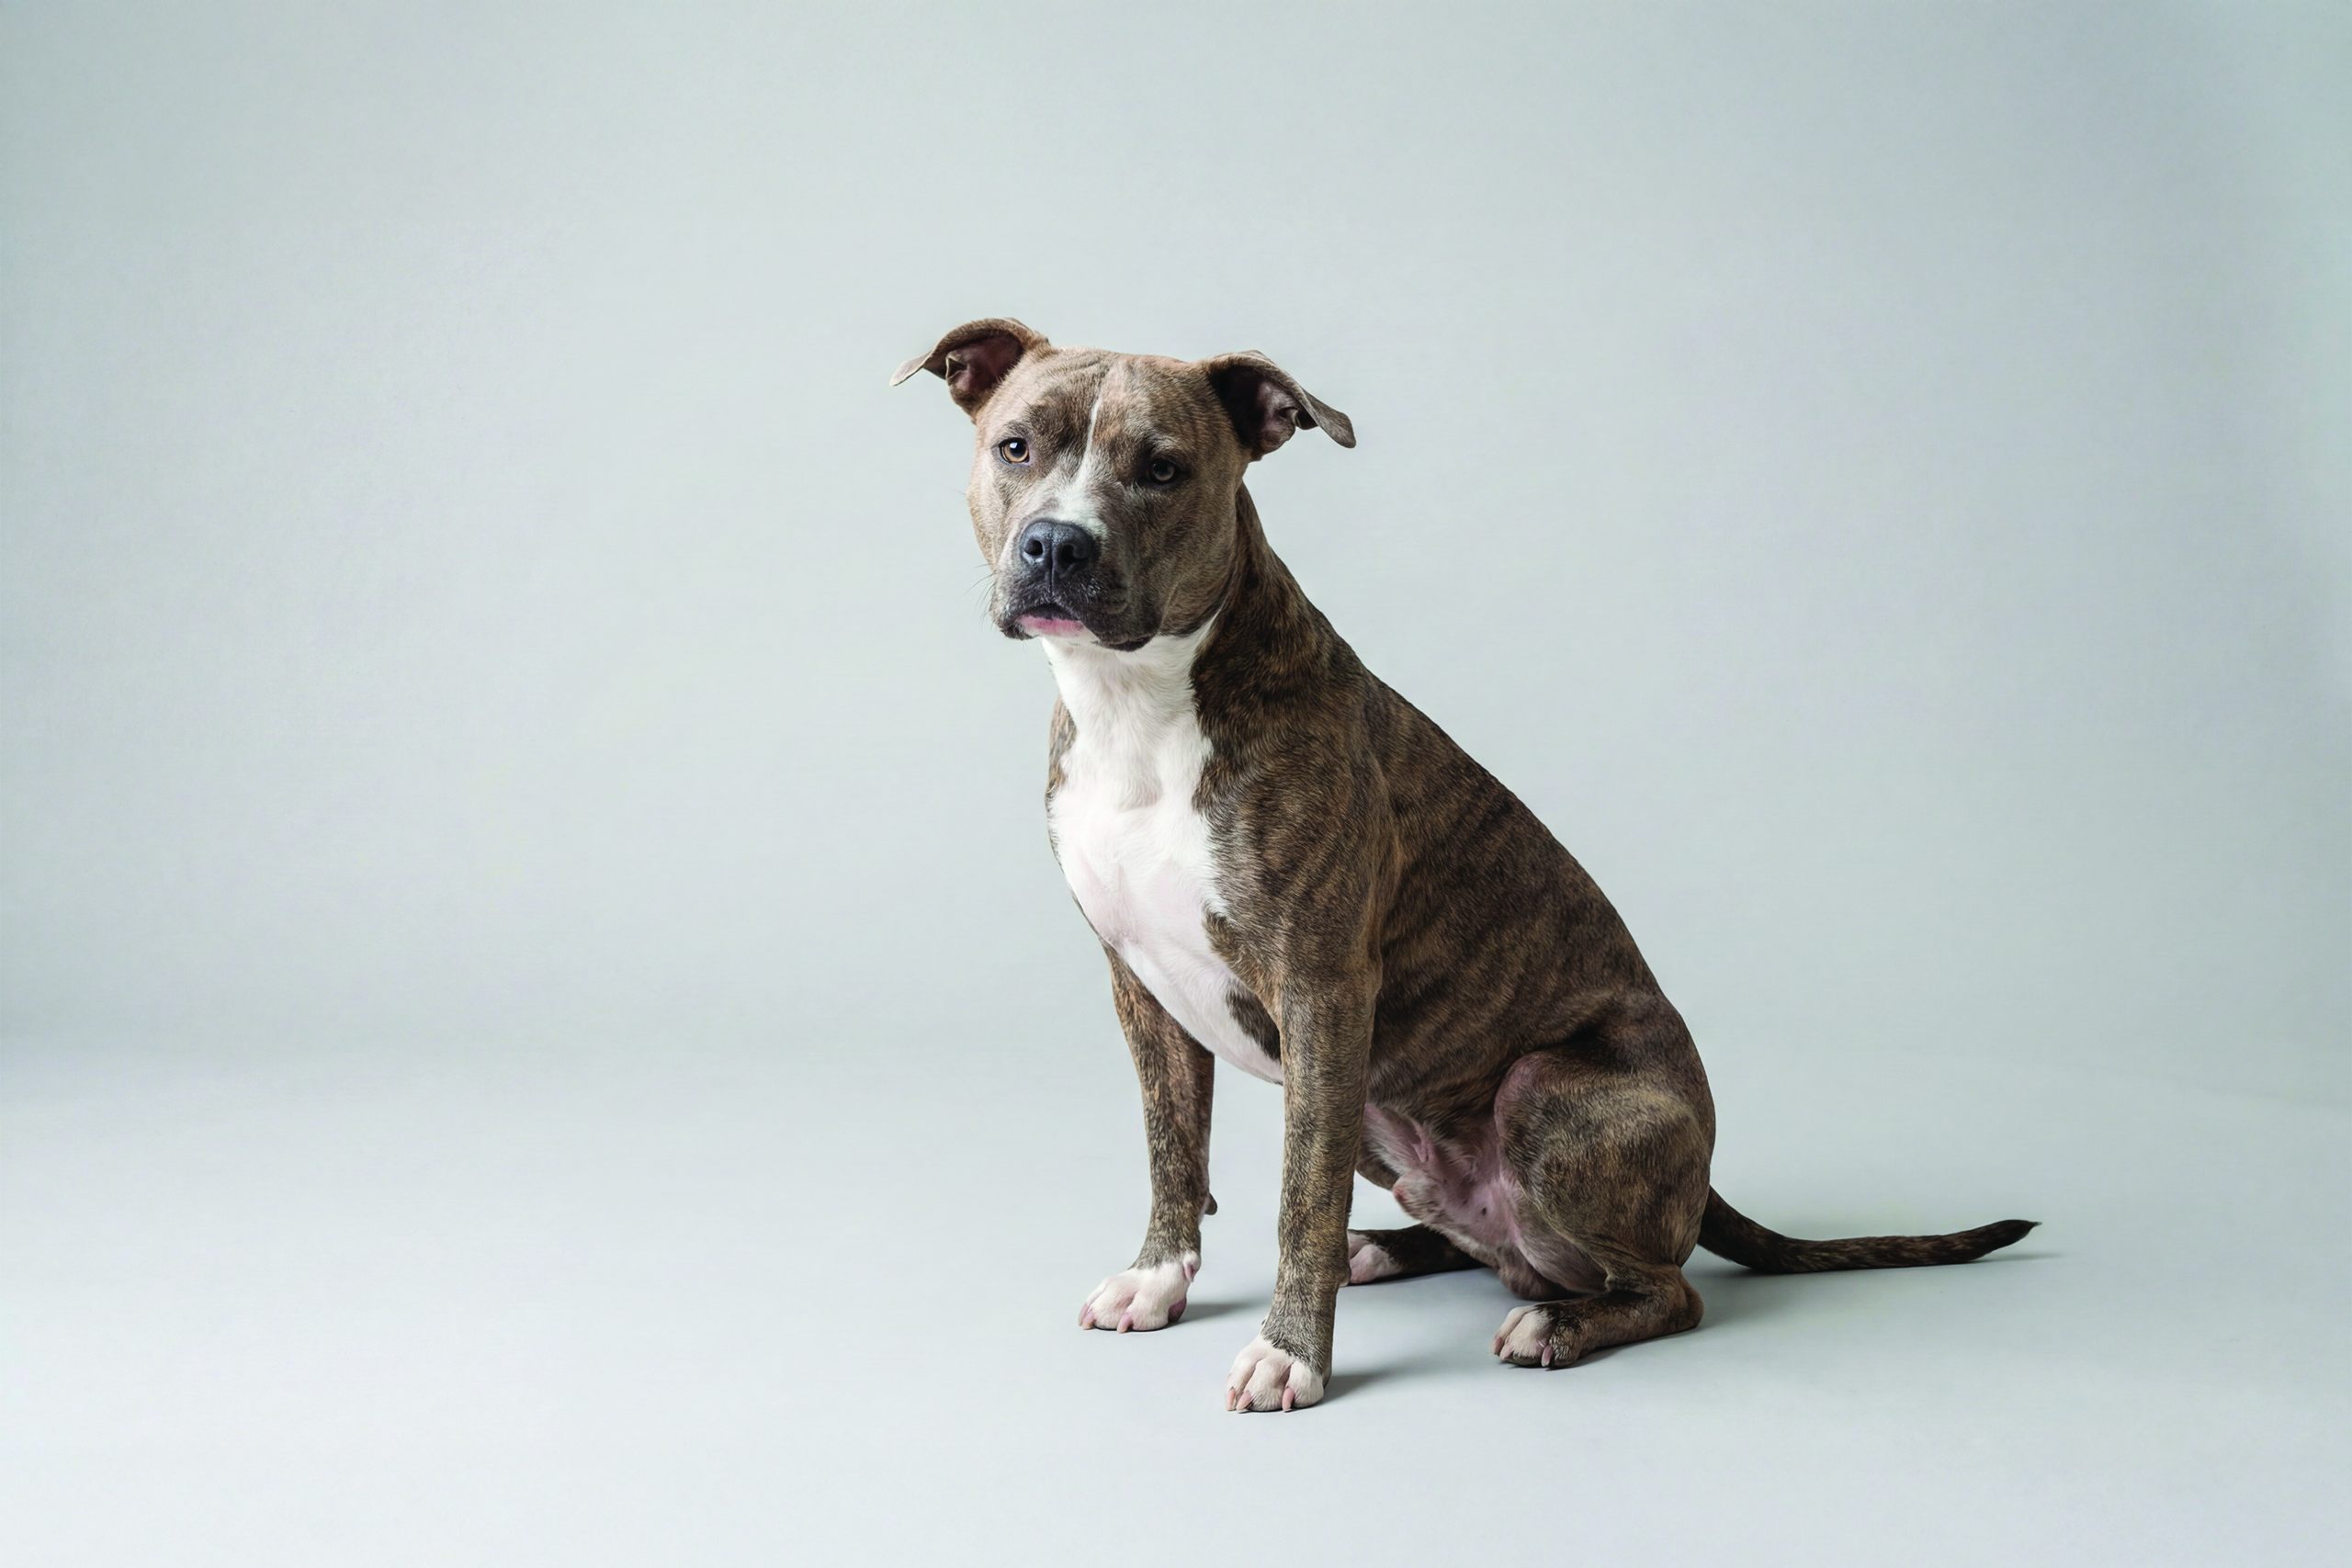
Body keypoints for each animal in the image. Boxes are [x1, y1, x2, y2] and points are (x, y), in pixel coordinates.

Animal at [895, 319, 2034, 1412]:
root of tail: (1703, 1176)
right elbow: (1173, 1152)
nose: (1056, 542)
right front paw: (1158, 1279)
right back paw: (1384, 1251)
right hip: (1383, 1109)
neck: (1138, 705)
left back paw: (1553, 1326)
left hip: (1534, 1095)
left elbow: (1298, 1199)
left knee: (1664, 1289)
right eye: (1015, 447)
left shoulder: (1321, 992)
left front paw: (1289, 1355)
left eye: (1164, 469)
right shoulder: (1144, 991)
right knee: (1493, 1246)